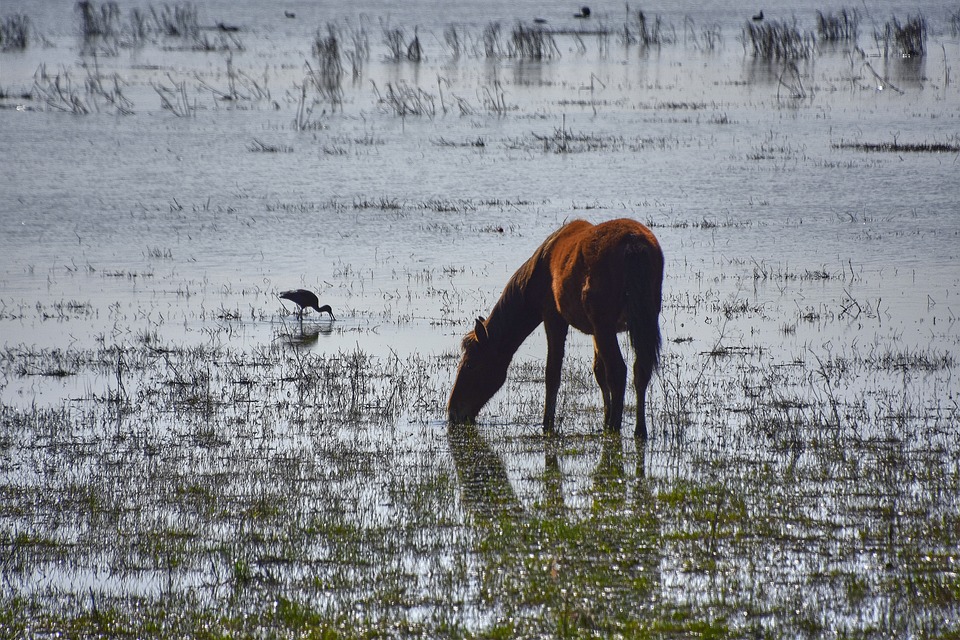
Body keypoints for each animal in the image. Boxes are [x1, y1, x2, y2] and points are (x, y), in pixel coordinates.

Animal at [448, 218, 660, 438]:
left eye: (471, 364)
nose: (453, 411)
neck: (537, 275)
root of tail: (634, 246)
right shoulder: (594, 330)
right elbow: (598, 371)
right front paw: (604, 416)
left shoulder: (553, 317)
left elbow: (552, 373)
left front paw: (547, 422)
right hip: (642, 320)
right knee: (640, 370)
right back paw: (639, 429)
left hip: (605, 324)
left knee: (618, 370)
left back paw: (614, 427)